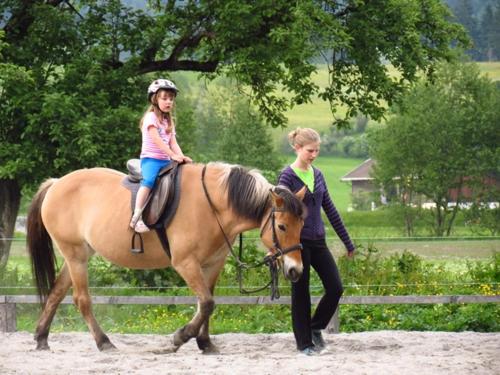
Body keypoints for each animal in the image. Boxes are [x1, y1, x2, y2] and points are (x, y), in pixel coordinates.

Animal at [28, 163, 308, 354]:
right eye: (282, 226)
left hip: (78, 255)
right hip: (75, 255)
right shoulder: (185, 263)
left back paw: (41, 338)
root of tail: (56, 183)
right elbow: (207, 303)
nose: (296, 270)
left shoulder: (212, 265)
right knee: (81, 300)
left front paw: (205, 343)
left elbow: (206, 303)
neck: (213, 207)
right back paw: (103, 342)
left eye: (302, 224)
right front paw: (180, 338)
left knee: (56, 293)